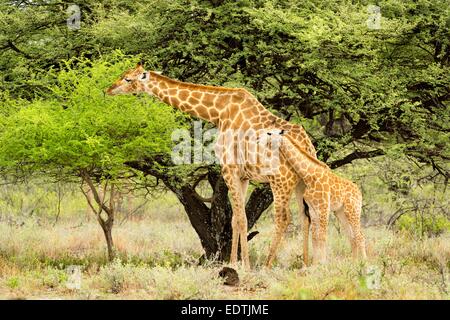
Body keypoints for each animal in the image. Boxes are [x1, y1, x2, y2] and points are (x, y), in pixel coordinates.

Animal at [106, 62, 320, 268]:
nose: (108, 89)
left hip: (280, 180)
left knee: (284, 218)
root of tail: (308, 147)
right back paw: (306, 265)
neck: (218, 112)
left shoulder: (229, 169)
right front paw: (233, 262)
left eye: (127, 78)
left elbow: (242, 218)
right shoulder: (243, 176)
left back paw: (268, 266)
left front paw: (244, 266)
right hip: (301, 182)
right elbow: (235, 219)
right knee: (305, 216)